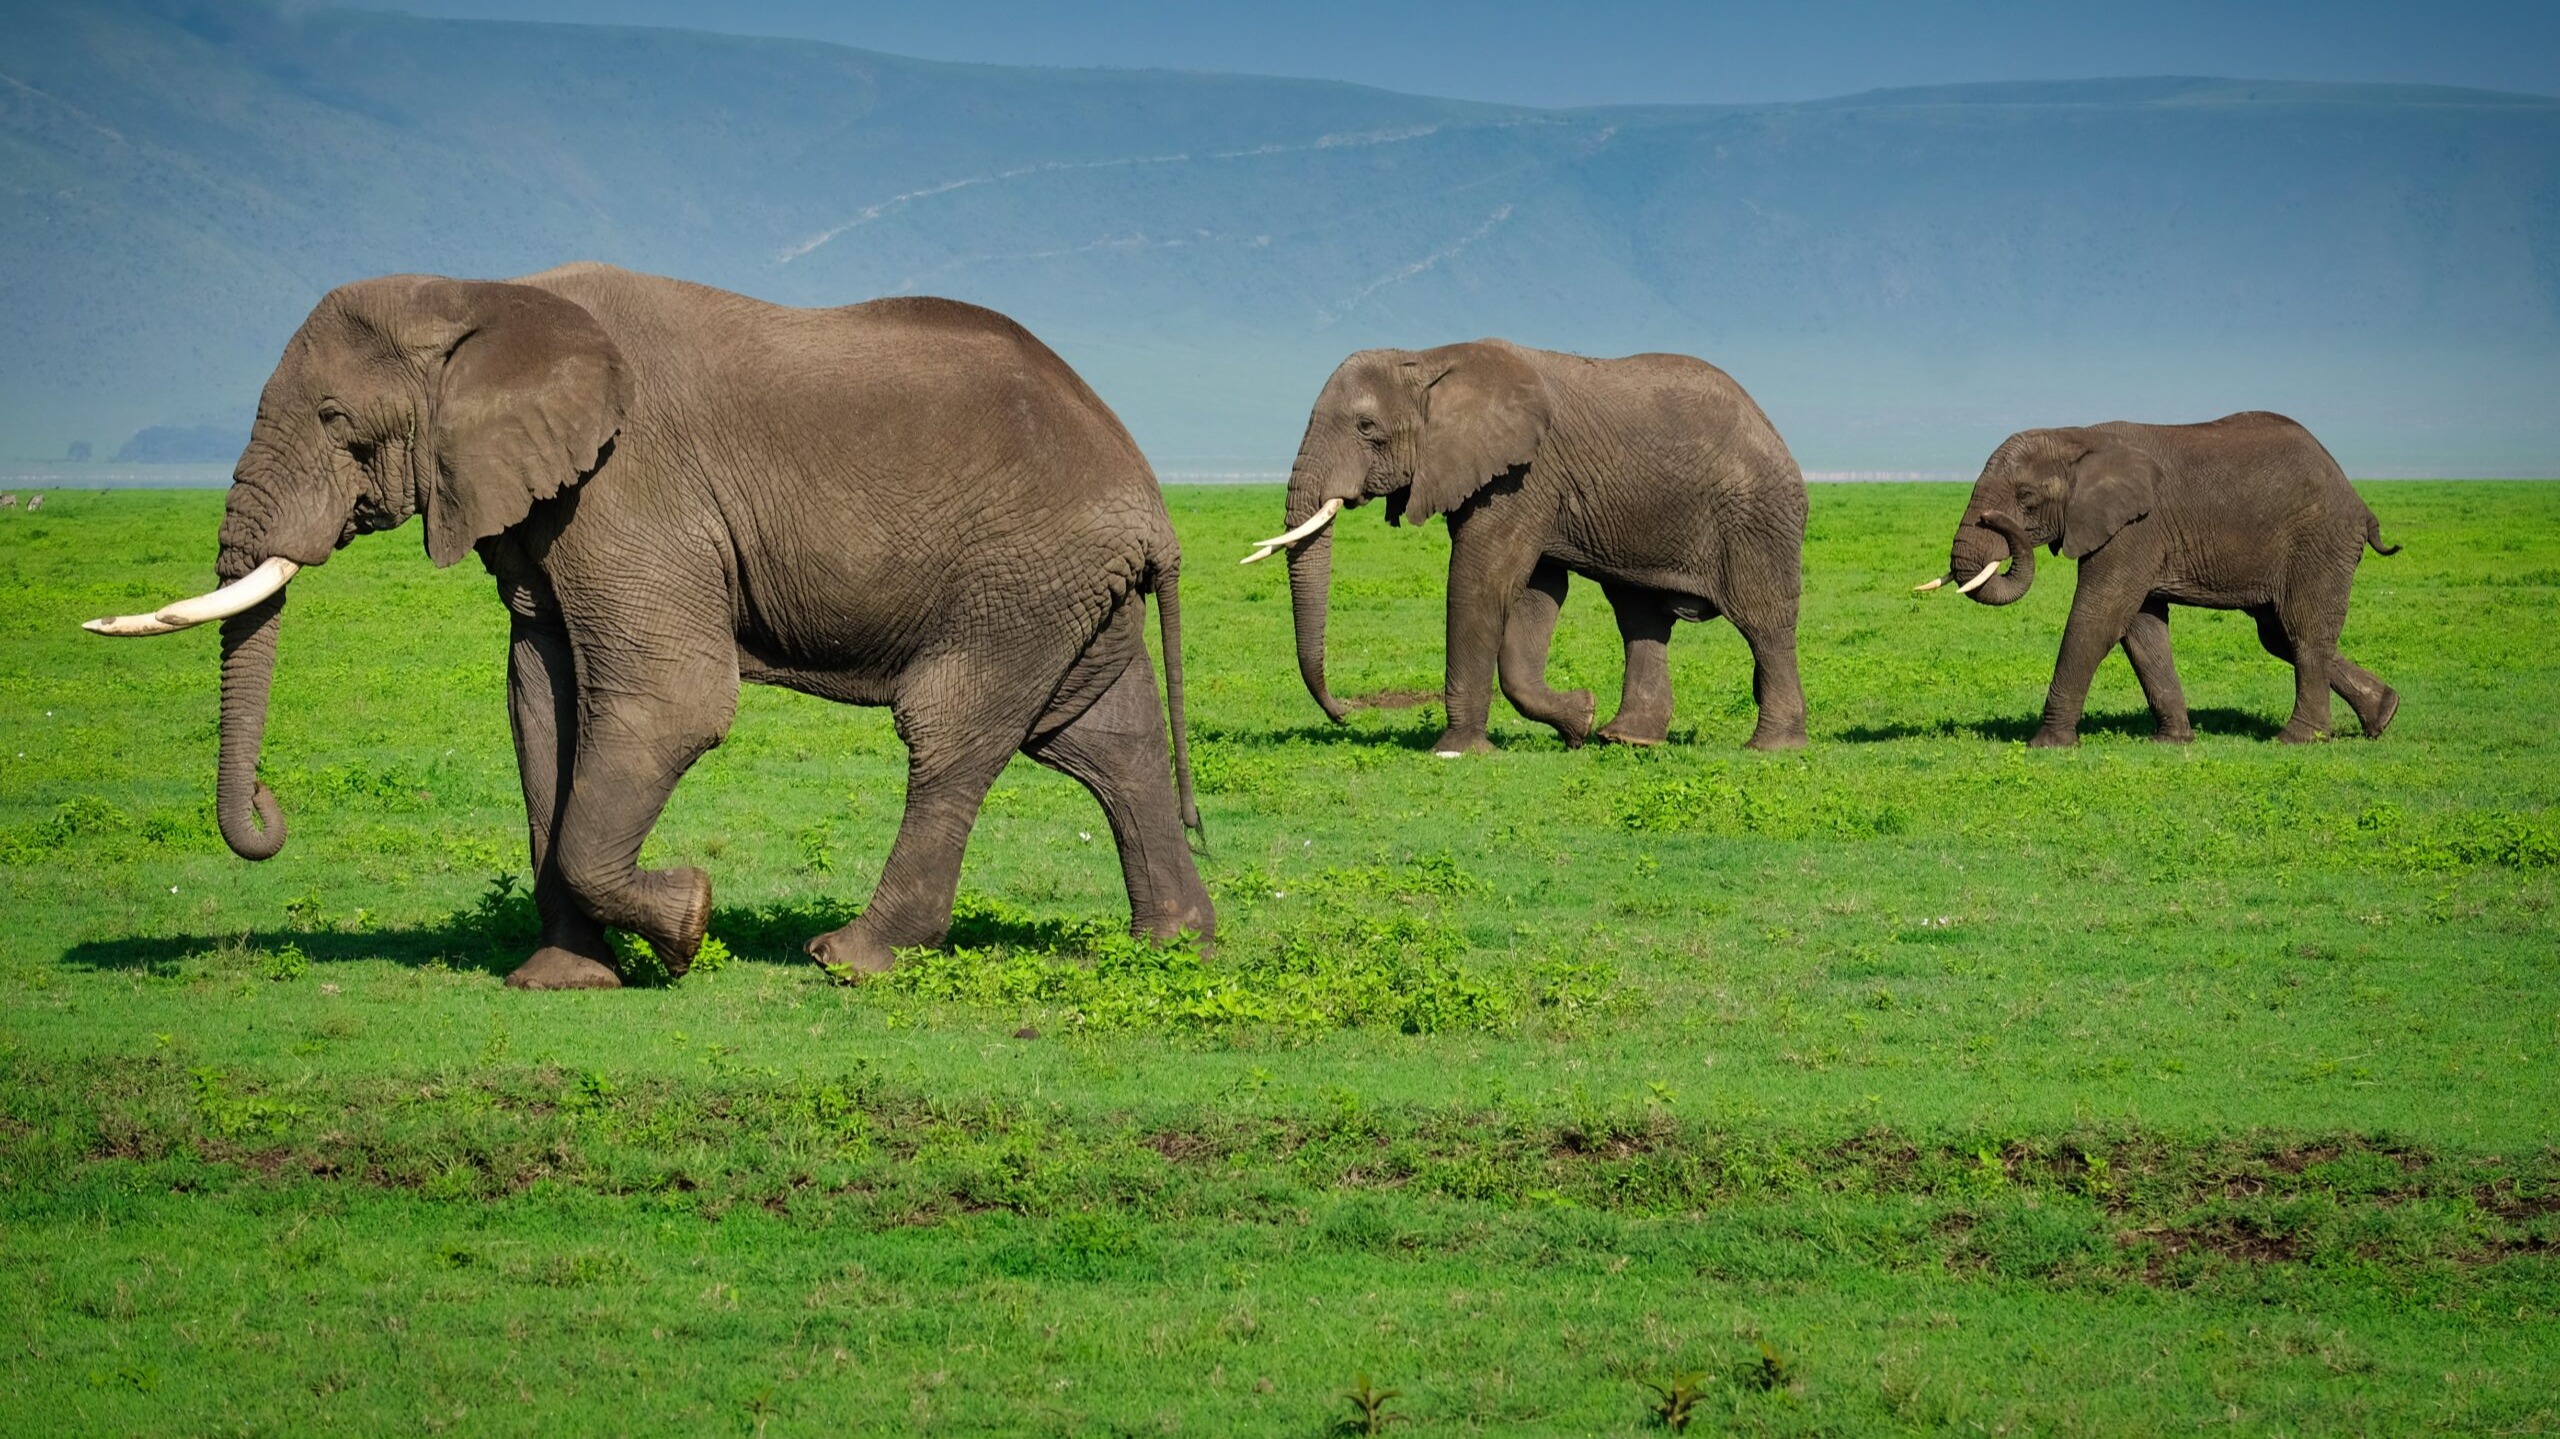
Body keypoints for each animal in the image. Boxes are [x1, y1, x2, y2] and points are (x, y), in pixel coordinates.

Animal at [85, 259, 1223, 983]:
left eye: (333, 419)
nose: (268, 810)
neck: (487, 295)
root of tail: (1152, 500)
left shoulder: (631, 490)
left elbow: (672, 703)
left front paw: (686, 927)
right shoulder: (548, 511)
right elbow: (539, 706)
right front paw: (561, 979)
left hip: (1016, 581)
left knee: (955, 733)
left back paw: (849, 961)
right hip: (1061, 590)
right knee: (1101, 741)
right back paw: (1174, 947)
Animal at [1249, 340, 1812, 757]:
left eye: (1367, 428)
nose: (1345, 714)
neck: (1429, 358)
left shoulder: (1524, 474)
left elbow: (1483, 580)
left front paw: (1455, 751)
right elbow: (1536, 593)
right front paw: (1579, 720)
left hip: (1757, 516)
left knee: (1763, 621)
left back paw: (1771, 748)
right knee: (1639, 616)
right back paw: (1625, 739)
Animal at [1925, 409, 2406, 742]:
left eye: (2025, 496)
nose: (1995, 521)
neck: (2079, 436)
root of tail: (2359, 502)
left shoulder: (2136, 529)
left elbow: (2097, 618)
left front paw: (2046, 745)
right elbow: (2142, 631)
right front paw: (2173, 741)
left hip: (2317, 544)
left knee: (2302, 632)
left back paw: (2297, 739)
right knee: (2279, 635)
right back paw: (2384, 715)